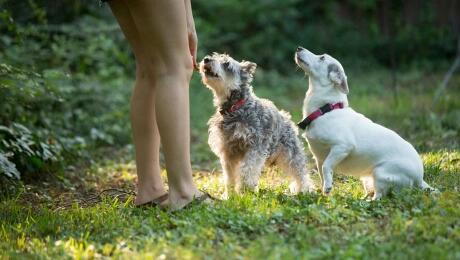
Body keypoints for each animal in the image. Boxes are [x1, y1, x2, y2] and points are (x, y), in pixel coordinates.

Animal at [199, 53, 314, 198]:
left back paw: (305, 189)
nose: (206, 59)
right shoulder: (228, 152)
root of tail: (285, 117)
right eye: (214, 56)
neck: (235, 108)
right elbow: (229, 176)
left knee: (300, 172)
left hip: (290, 153)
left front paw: (245, 189)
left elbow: (247, 169)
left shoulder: (255, 147)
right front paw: (229, 195)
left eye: (226, 64)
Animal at [292, 46, 434, 199]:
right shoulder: (318, 158)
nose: (299, 48)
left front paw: (328, 186)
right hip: (367, 178)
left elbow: (326, 167)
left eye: (322, 57)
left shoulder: (343, 147)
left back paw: (369, 201)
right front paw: (325, 192)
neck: (325, 110)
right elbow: (322, 174)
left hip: (380, 173)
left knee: (379, 197)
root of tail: (419, 179)